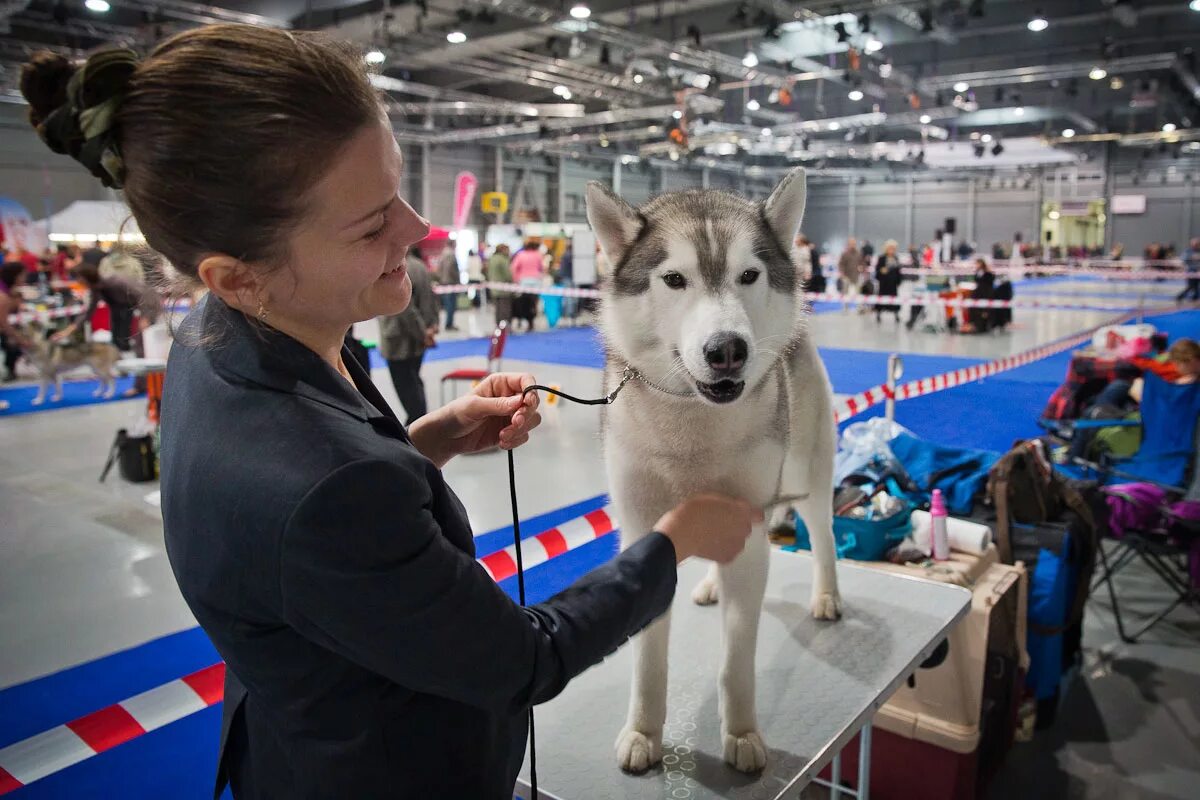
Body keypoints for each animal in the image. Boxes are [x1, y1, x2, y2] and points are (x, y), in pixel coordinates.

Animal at [585, 169, 840, 777]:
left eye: (749, 274)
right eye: (674, 279)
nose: (727, 349)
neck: (693, 423)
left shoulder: (747, 535)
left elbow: (735, 659)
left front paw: (742, 734)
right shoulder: (647, 533)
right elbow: (649, 658)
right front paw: (643, 733)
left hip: (810, 477)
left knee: (823, 535)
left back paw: (826, 595)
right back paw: (706, 584)